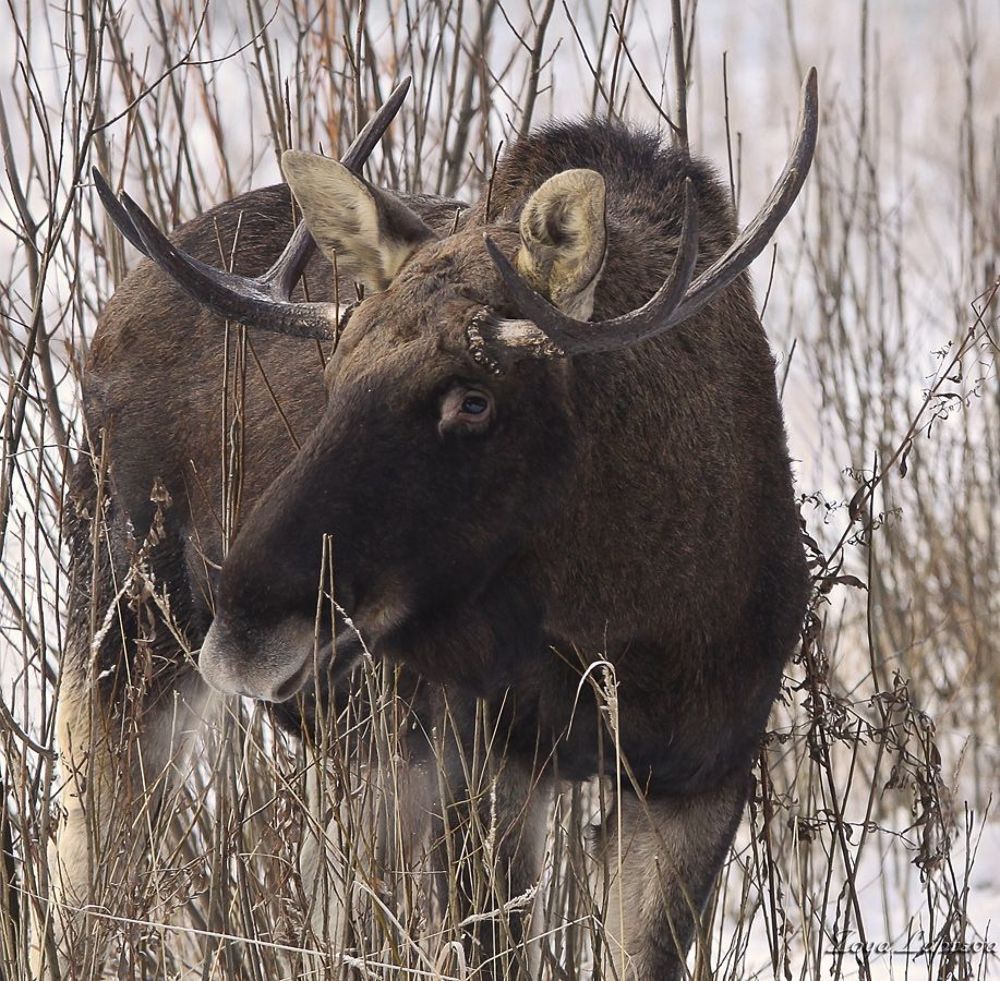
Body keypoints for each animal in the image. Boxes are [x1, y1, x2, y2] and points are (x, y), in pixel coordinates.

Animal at [42, 68, 818, 979]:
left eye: (474, 398)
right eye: (336, 373)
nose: (245, 624)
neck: (638, 621)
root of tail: (112, 313)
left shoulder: (702, 777)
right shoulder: (480, 762)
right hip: (124, 628)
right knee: (75, 897)